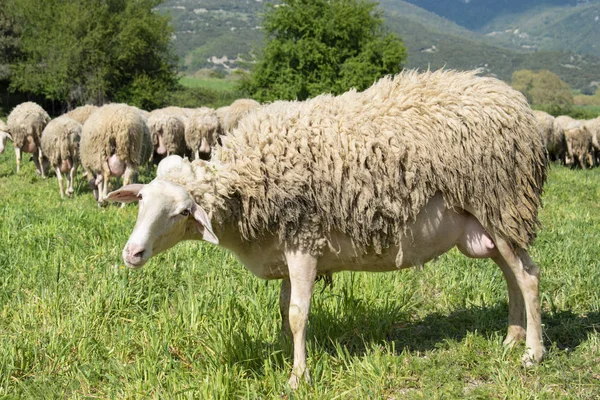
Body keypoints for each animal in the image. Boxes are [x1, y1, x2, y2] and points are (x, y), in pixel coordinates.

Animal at [108, 70, 548, 390]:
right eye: (142, 200)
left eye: (183, 212)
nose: (132, 254)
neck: (249, 182)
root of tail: (515, 101)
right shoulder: (283, 248)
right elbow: (284, 309)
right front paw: (283, 351)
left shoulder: (304, 242)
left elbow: (299, 313)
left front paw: (297, 376)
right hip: (489, 226)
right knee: (512, 274)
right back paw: (511, 338)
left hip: (502, 204)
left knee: (528, 277)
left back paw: (533, 353)